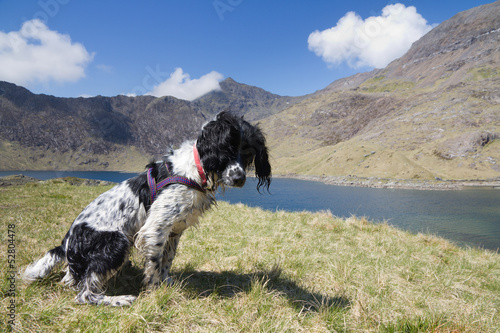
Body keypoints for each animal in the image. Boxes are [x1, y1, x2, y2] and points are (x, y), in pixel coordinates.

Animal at [24, 112, 270, 306]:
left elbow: (166, 261)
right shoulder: (155, 228)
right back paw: (119, 299)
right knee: (84, 294)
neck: (194, 170)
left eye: (248, 152)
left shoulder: (174, 230)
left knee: (71, 283)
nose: (239, 179)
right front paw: (152, 293)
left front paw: (166, 283)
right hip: (117, 242)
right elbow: (154, 264)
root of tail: (66, 244)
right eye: (226, 149)